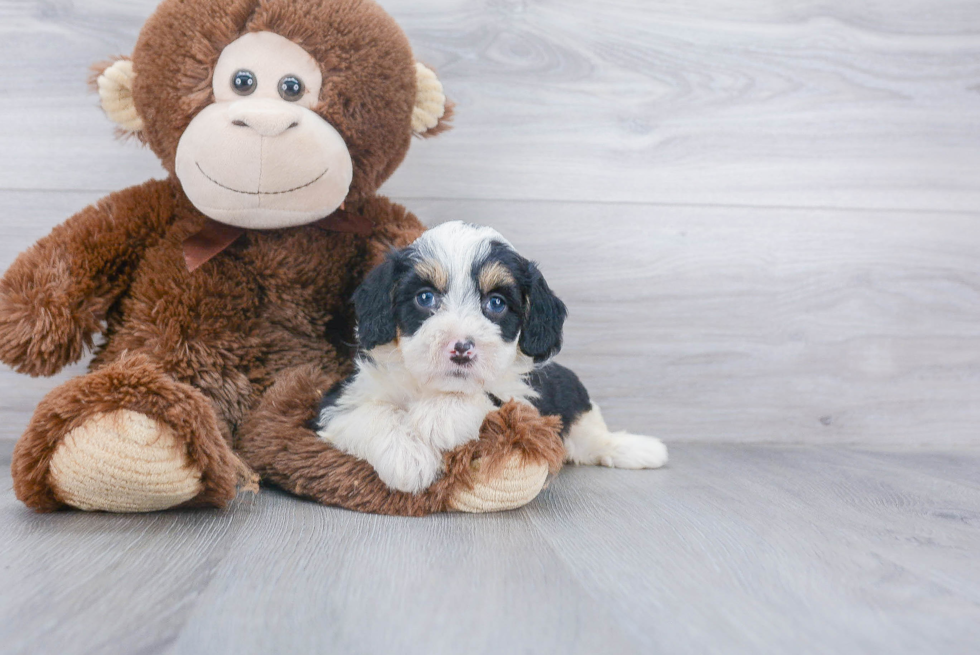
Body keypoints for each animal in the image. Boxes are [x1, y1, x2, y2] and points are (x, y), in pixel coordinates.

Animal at [314, 220, 668, 492]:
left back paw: (641, 449)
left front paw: (439, 416)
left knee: (595, 438)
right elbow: (370, 413)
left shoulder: (528, 407)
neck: (432, 388)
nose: (461, 347)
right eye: (425, 298)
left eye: (496, 303)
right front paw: (407, 457)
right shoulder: (340, 401)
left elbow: (492, 400)